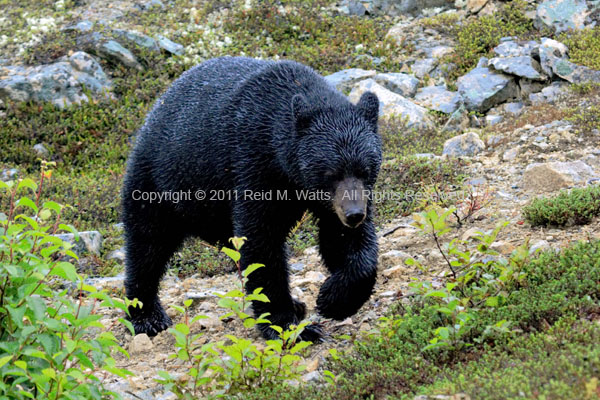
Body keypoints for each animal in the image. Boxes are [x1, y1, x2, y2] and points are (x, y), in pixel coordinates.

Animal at [122, 56, 382, 340]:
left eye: (365, 169)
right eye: (331, 174)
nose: (354, 214)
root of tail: (154, 110)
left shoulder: (331, 200)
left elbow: (344, 241)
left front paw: (335, 299)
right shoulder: (253, 163)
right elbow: (261, 243)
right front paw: (289, 326)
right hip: (158, 181)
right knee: (148, 244)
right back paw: (147, 316)